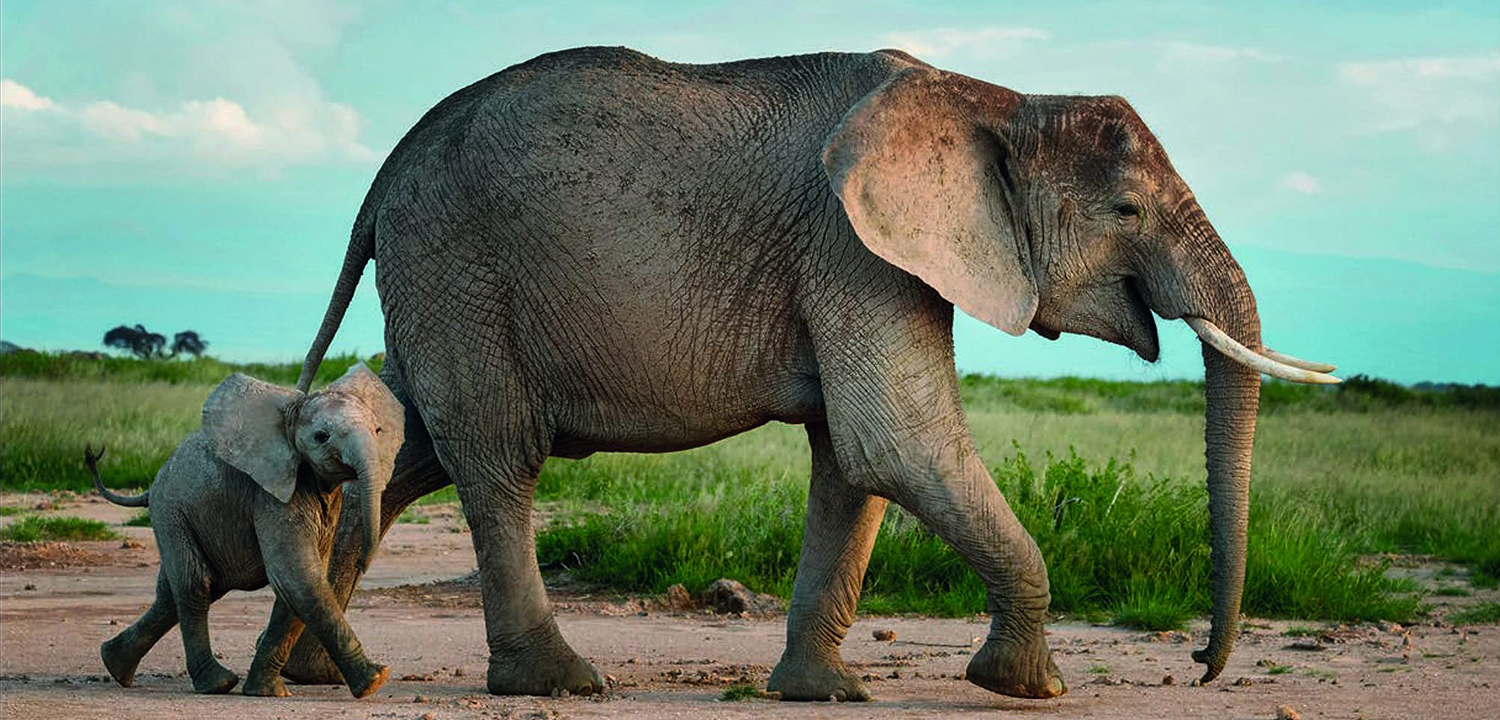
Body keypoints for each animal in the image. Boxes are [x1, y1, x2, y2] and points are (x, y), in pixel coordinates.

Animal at [89, 363, 405, 698]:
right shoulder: (272, 495)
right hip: (170, 510)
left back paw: (115, 664)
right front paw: (374, 680)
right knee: (194, 583)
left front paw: (266, 692)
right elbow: (296, 576)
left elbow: (296, 587)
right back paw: (216, 683)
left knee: (173, 593)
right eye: (321, 437)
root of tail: (151, 487)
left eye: (378, 431)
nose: (362, 562)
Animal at [284, 46, 1338, 701]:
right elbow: (897, 446)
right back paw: (556, 682)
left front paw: (821, 694)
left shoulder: (864, 259)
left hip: (445, 277)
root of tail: (382, 176)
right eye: (1126, 210)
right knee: (499, 458)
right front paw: (1029, 687)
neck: (996, 99)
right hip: (459, 263)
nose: (1199, 665)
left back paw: (309, 673)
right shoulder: (851, 248)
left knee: (409, 447)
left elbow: (852, 463)